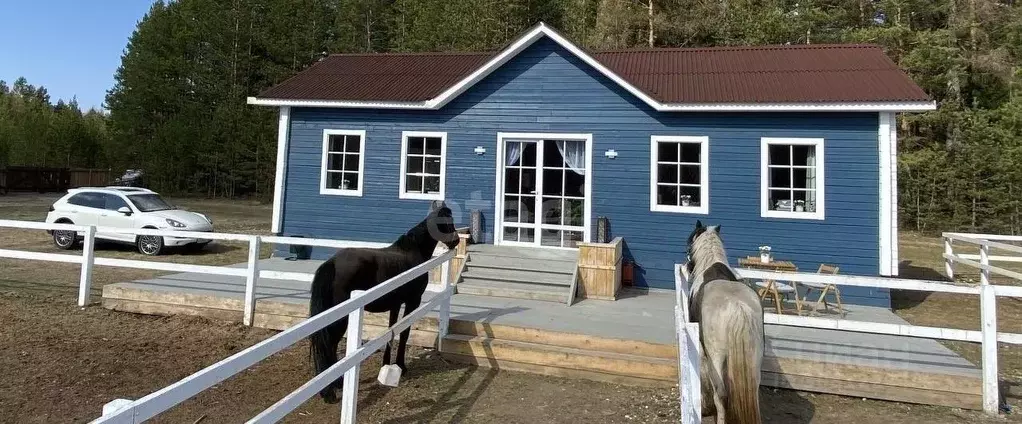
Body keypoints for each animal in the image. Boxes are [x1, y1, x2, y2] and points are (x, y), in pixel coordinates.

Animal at [306, 201, 459, 402]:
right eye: (446, 221)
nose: (456, 240)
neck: (413, 251)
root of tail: (331, 263)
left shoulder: (395, 304)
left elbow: (391, 330)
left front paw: (386, 364)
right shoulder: (412, 301)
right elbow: (404, 333)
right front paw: (401, 366)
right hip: (341, 318)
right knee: (329, 344)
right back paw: (331, 390)